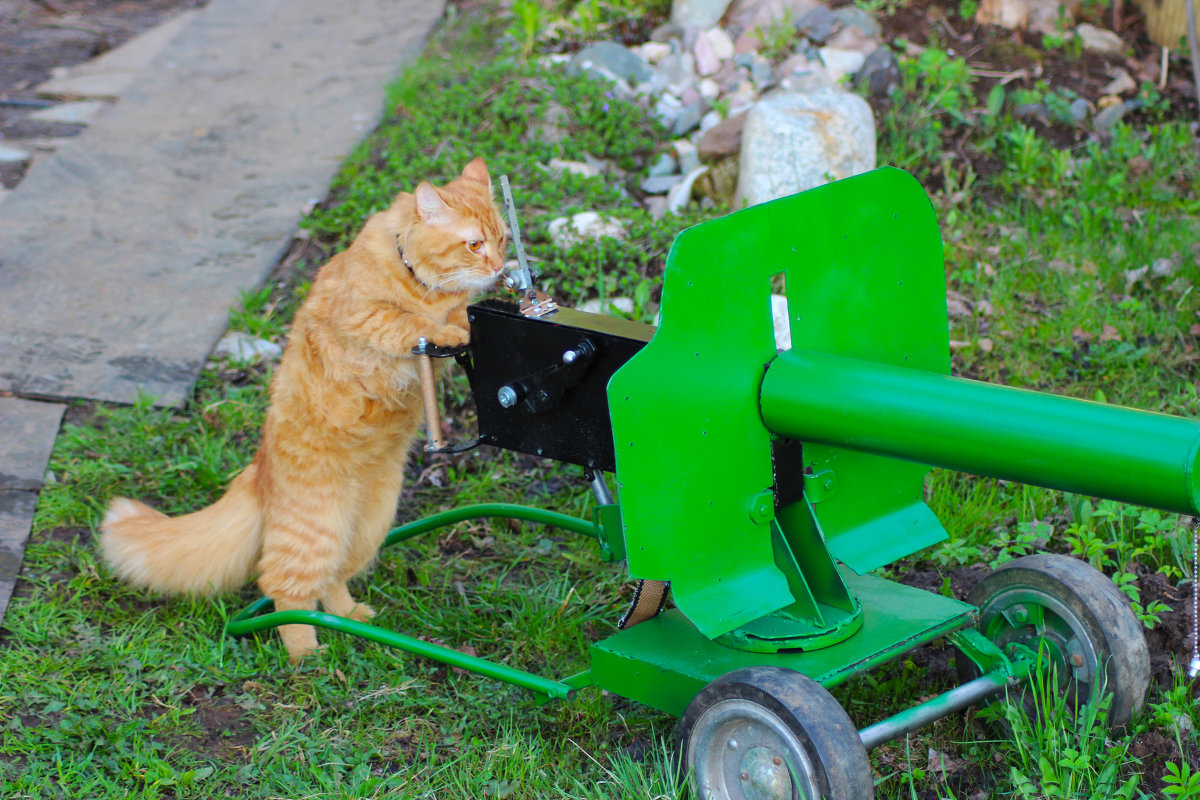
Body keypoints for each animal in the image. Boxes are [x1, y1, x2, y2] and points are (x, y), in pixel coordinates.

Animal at [100, 155, 508, 662]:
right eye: (473, 244)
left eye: (502, 239)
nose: (500, 267)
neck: (421, 283)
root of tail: (257, 471)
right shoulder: (365, 318)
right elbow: (407, 322)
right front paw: (450, 329)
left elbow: (448, 317)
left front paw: (460, 321)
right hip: (316, 532)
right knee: (285, 591)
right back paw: (308, 656)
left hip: (369, 526)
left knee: (331, 582)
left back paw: (351, 618)